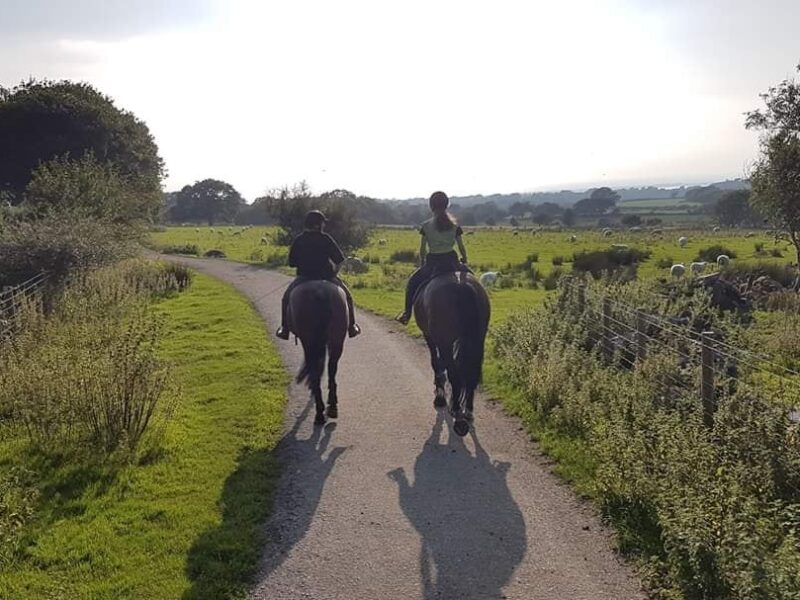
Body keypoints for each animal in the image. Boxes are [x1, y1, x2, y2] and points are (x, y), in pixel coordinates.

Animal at [290, 278, 348, 424]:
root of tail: (320, 292)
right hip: (336, 339)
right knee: (332, 367)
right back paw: (332, 406)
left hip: (310, 341)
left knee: (316, 368)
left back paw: (319, 411)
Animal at [416, 272, 490, 436]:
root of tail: (461, 285)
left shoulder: (430, 337)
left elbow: (436, 363)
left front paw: (440, 395)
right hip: (477, 341)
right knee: (471, 376)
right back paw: (467, 411)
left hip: (446, 341)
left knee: (454, 375)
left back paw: (456, 411)